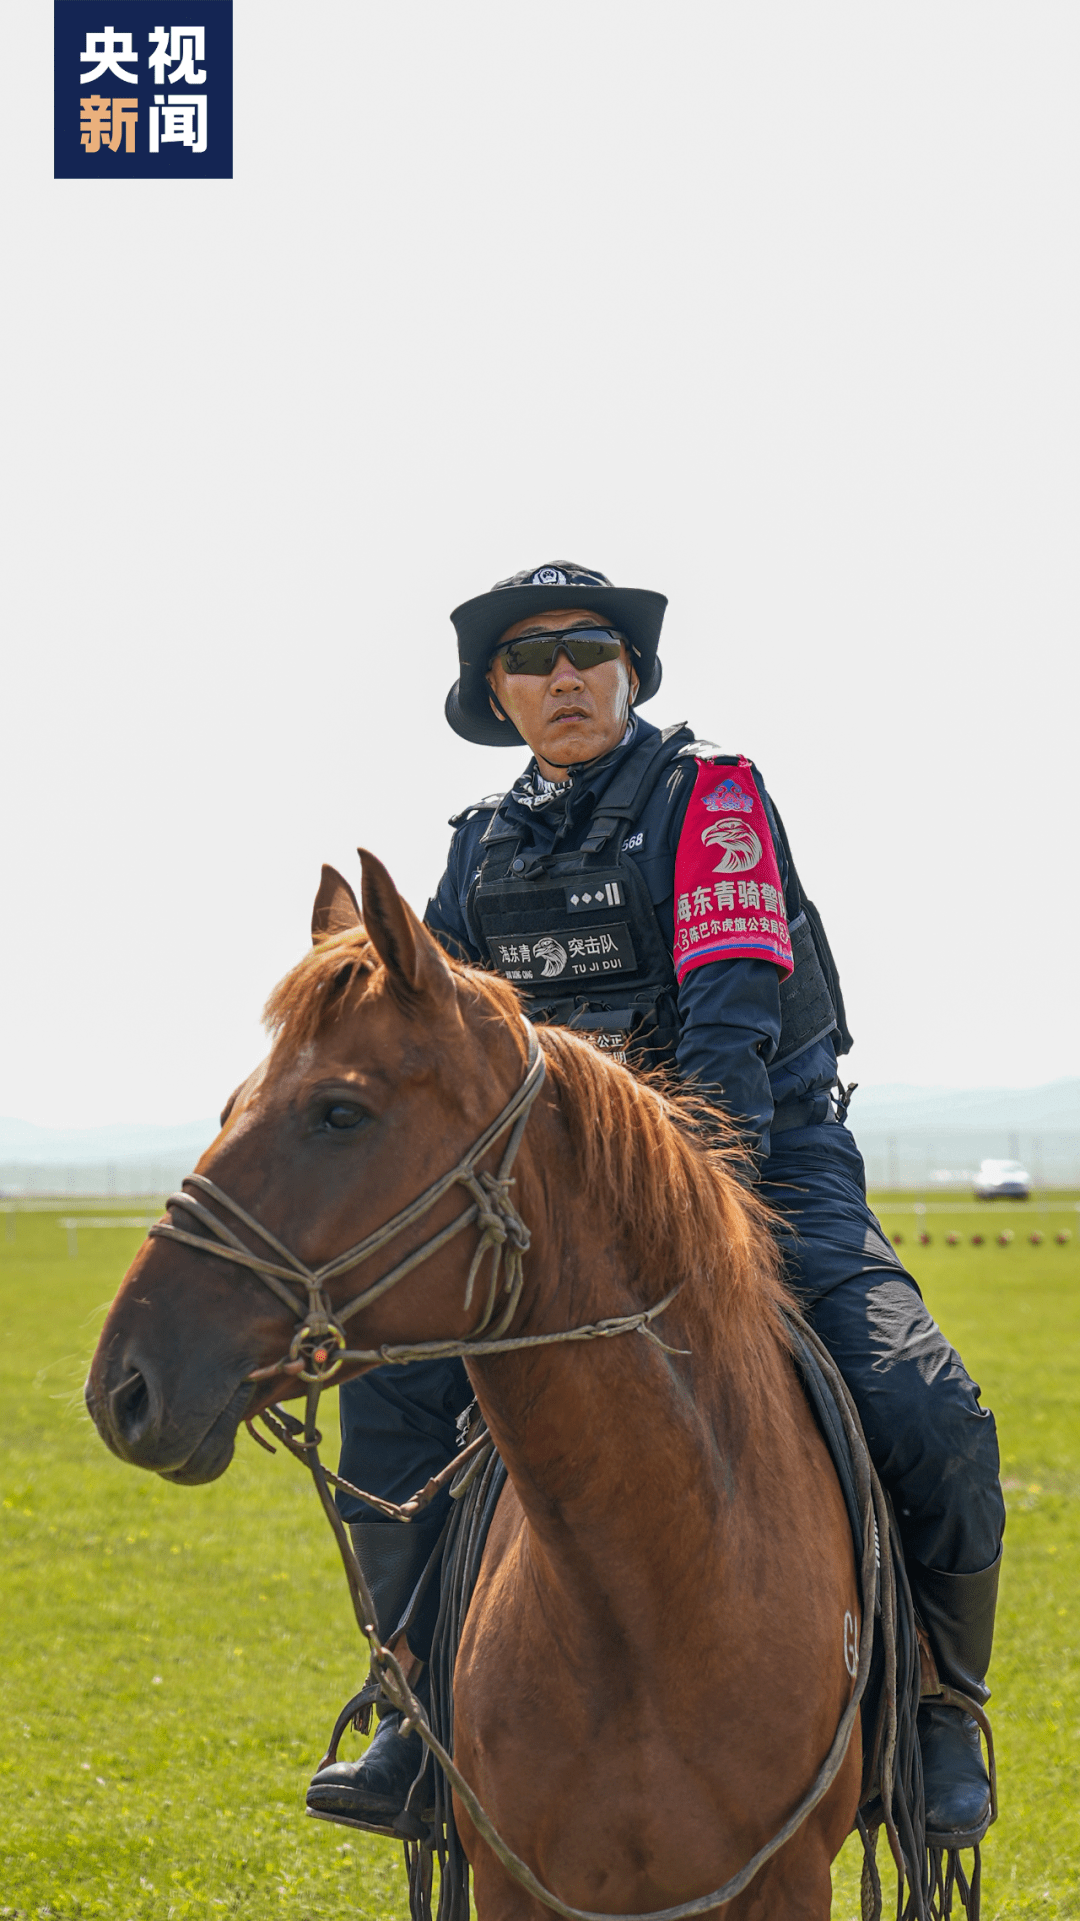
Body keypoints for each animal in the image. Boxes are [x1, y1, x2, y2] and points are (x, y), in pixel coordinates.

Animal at [86, 851, 865, 1919]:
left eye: (339, 1111)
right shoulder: (513, 1879)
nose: (124, 1383)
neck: (650, 1599)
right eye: (229, 1105)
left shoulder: (787, 1879)